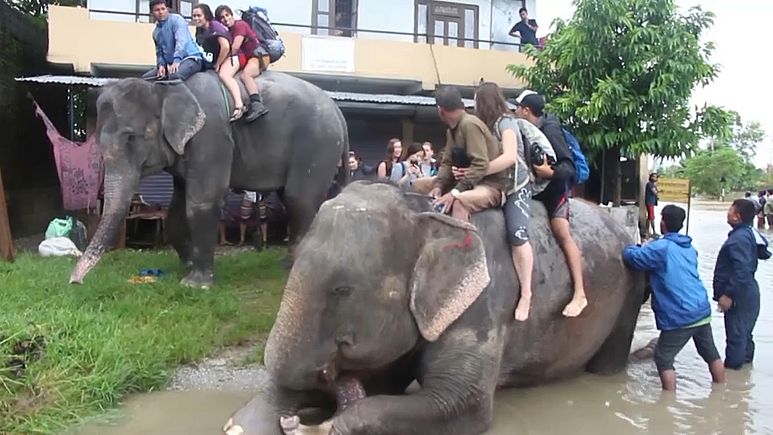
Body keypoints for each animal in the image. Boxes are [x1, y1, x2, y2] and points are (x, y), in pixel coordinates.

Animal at [69, 70, 346, 290]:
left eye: (131, 138)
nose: (74, 282)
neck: (165, 87)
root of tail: (338, 111)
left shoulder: (211, 135)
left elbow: (202, 201)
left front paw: (194, 285)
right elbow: (176, 208)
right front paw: (187, 265)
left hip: (317, 145)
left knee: (299, 200)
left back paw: (294, 270)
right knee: (291, 201)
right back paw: (287, 264)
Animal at [220, 181, 644, 435]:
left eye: (342, 289)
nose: (291, 416)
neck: (427, 214)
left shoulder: (486, 303)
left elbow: (460, 403)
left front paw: (317, 427)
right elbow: (382, 383)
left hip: (631, 289)